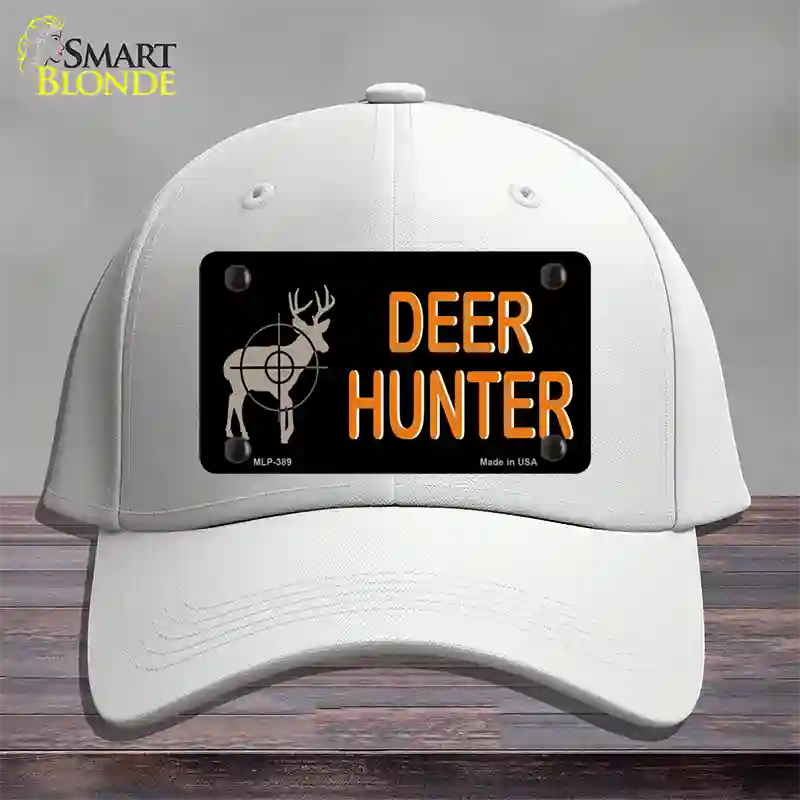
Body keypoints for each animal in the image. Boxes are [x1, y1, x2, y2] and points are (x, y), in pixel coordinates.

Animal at [224, 286, 335, 444]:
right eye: (309, 335)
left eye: (320, 333)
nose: (326, 347)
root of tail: (225, 364)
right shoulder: (277, 386)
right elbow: (286, 403)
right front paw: (284, 435)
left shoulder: (284, 388)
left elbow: (288, 402)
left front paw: (285, 434)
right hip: (239, 383)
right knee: (236, 401)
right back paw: (244, 434)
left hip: (238, 385)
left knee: (232, 399)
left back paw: (231, 432)